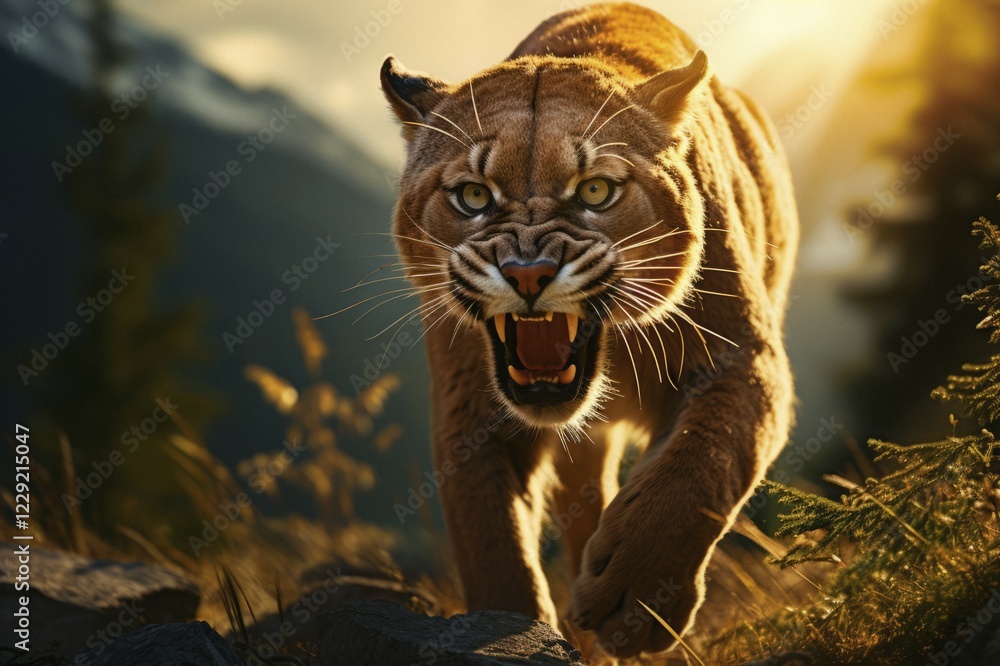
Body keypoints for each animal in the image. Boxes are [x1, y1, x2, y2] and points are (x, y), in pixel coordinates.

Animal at [378, 2, 797, 658]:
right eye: (472, 196)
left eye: (596, 190)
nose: (527, 273)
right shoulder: (471, 414)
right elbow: (493, 548)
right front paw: (514, 631)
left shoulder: (744, 357)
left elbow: (707, 458)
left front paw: (640, 600)